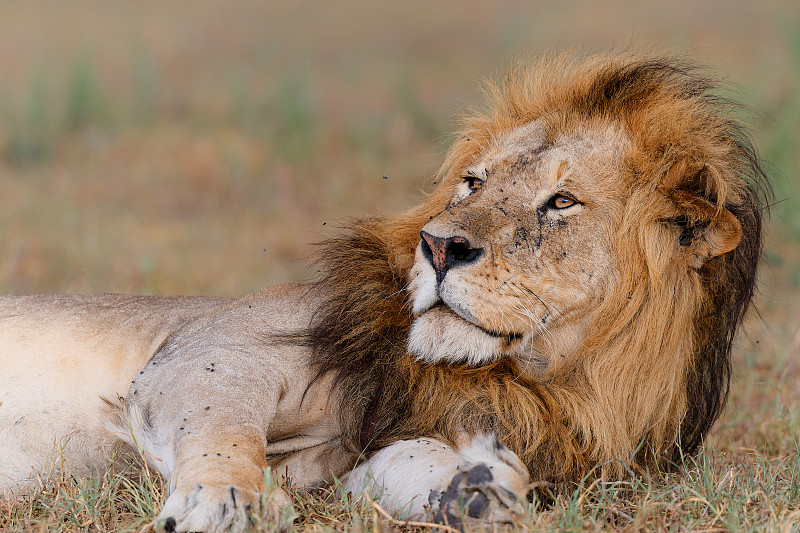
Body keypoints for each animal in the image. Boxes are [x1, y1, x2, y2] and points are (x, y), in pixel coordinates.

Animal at [0, 51, 768, 532]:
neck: (555, 386)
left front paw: (475, 491)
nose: (438, 246)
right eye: (473, 183)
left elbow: (409, 462)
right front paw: (225, 501)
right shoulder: (206, 352)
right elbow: (223, 430)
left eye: (561, 202)